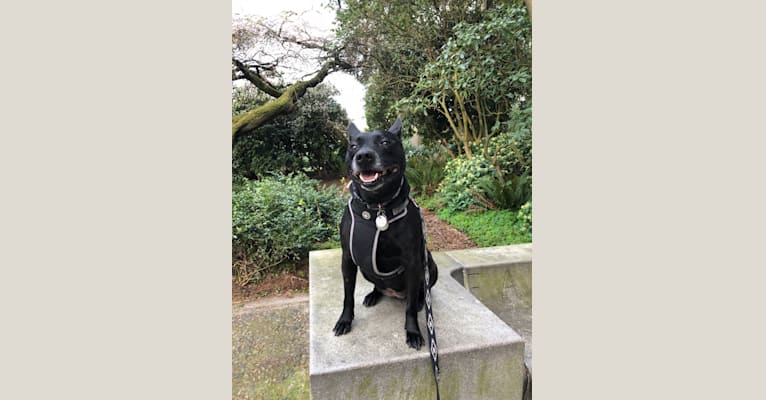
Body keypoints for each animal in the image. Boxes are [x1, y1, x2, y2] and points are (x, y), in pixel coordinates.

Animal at [334, 117, 438, 348]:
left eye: (384, 142)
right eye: (353, 146)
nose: (364, 156)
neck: (377, 206)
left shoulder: (413, 262)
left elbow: (409, 308)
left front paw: (413, 332)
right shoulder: (348, 259)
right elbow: (347, 296)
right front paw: (345, 321)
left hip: (429, 266)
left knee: (418, 293)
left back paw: (420, 301)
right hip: (366, 269)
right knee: (378, 284)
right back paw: (374, 295)